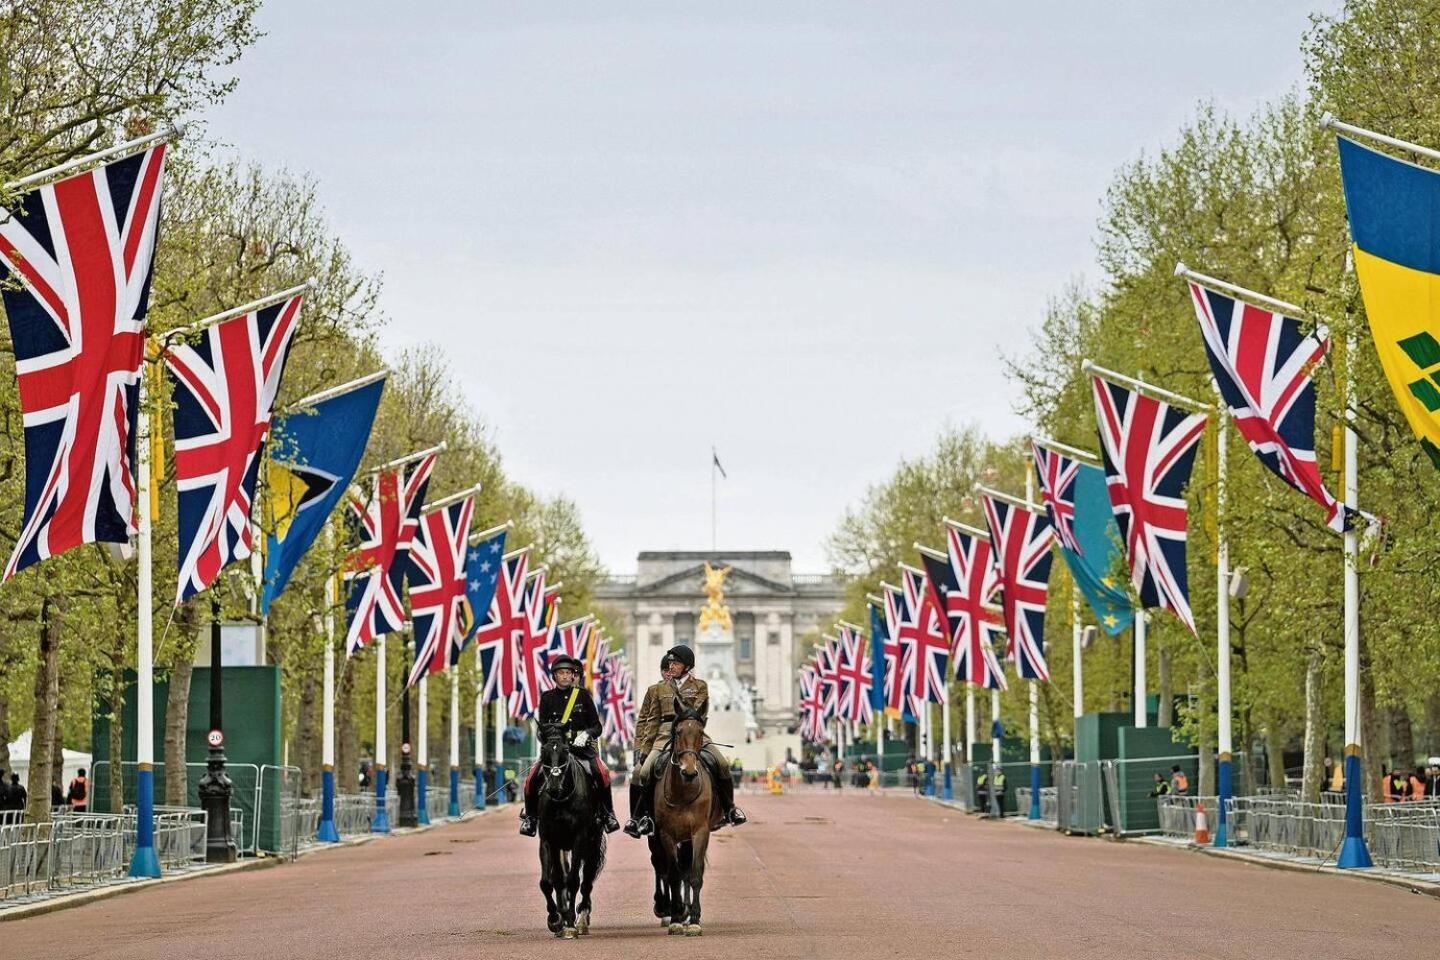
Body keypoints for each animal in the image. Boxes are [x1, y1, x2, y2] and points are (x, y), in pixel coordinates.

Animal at [538, 719, 610, 938]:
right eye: (543, 751)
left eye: (565, 750)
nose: (553, 787)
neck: (562, 800)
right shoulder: (549, 840)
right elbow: (551, 881)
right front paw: (556, 919)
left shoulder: (580, 839)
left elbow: (573, 881)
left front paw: (569, 922)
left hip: (592, 845)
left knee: (586, 881)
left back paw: (582, 918)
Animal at [653, 699, 714, 938]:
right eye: (678, 732)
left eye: (701, 732)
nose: (689, 772)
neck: (683, 792)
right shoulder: (665, 835)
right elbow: (673, 874)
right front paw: (676, 918)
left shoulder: (700, 832)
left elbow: (694, 874)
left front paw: (694, 919)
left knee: (687, 870)